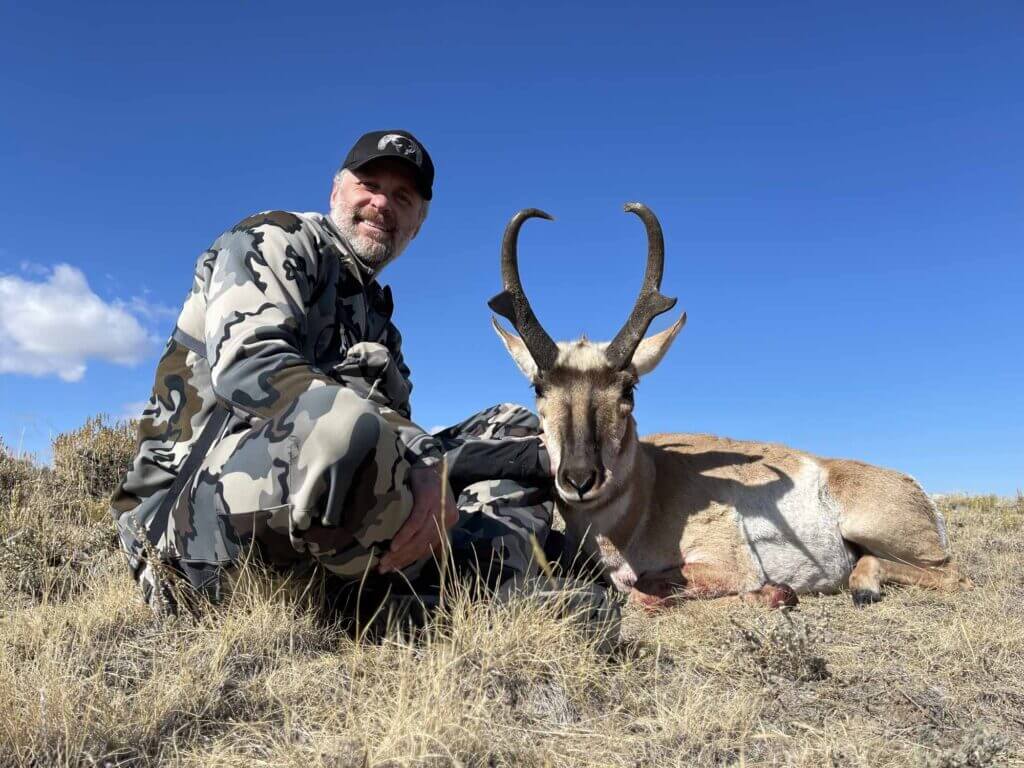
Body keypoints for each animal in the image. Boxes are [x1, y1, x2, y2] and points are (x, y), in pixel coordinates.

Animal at [489, 204, 970, 609]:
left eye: (629, 389)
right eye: (537, 386)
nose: (579, 479)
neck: (649, 485)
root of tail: (915, 488)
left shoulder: (724, 565)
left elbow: (646, 588)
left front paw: (774, 592)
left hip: (874, 529)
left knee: (952, 575)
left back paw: (861, 585)